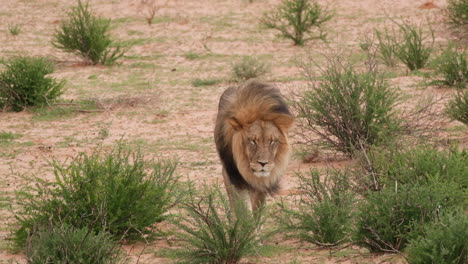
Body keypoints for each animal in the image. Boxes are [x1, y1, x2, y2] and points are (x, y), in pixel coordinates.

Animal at [215, 80, 294, 212]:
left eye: (272, 141)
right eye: (252, 141)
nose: (263, 163)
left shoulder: (262, 183)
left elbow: (257, 209)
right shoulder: (233, 177)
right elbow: (242, 210)